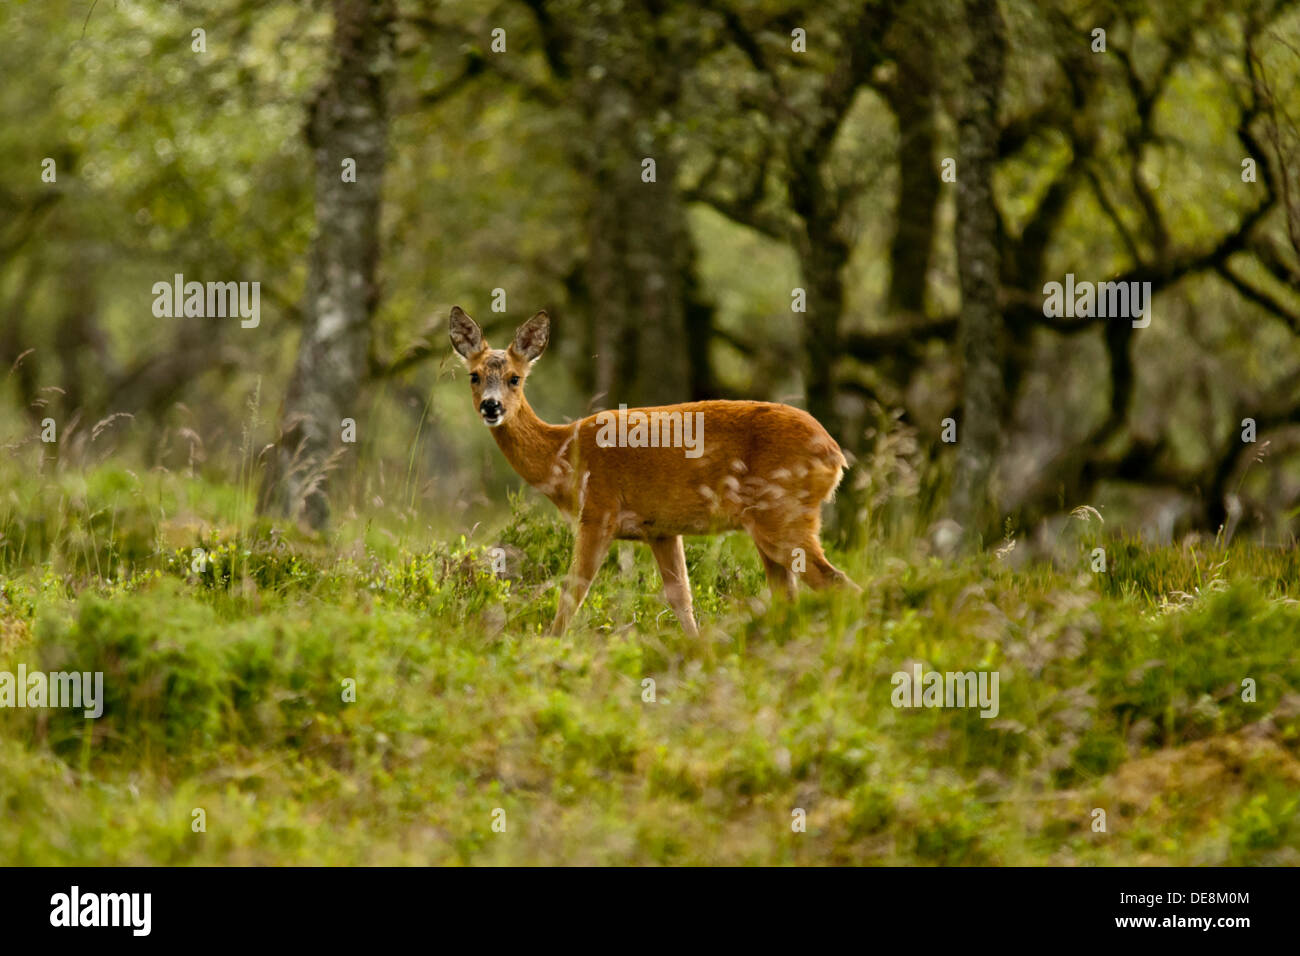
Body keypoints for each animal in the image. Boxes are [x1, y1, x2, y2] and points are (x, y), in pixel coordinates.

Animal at [449, 305, 857, 636]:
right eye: (474, 375)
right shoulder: (661, 529)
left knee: (836, 582)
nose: (491, 406)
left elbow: (573, 589)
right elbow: (680, 597)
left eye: (515, 378)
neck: (565, 453)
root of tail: (835, 455)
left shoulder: (598, 511)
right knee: (789, 594)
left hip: (783, 515)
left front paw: (551, 645)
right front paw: (695, 647)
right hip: (770, 524)